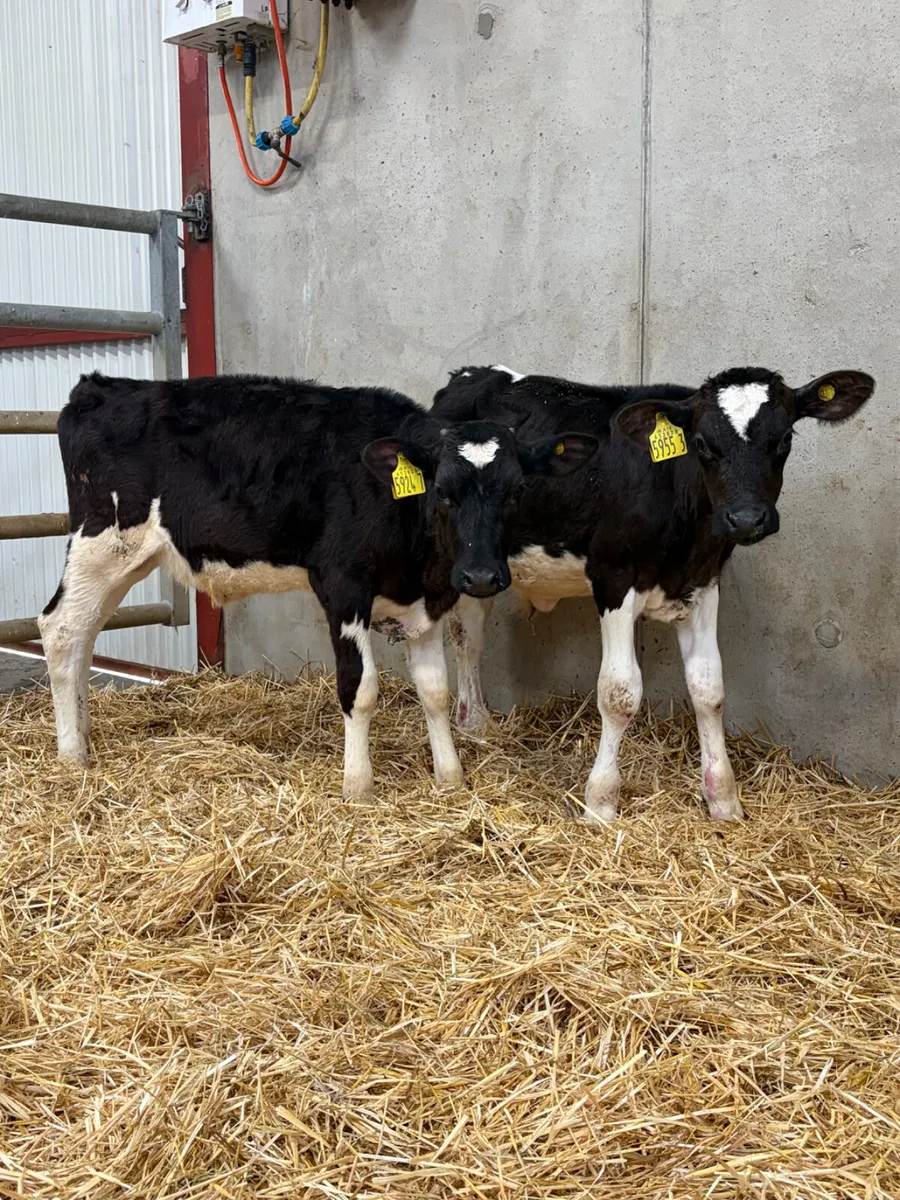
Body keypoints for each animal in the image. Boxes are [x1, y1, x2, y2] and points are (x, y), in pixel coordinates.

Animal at [38, 372, 597, 799]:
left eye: (517, 490)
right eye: (442, 489)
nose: (481, 576)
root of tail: (101, 387)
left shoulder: (428, 600)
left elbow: (436, 691)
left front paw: (450, 777)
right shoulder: (341, 586)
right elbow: (360, 688)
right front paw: (358, 787)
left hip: (125, 559)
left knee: (85, 634)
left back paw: (83, 733)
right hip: (103, 542)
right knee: (61, 628)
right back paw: (72, 755)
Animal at [432, 364, 875, 824]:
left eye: (785, 437)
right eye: (702, 443)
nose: (746, 518)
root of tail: (470, 374)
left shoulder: (704, 580)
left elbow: (709, 689)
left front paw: (723, 800)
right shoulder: (613, 577)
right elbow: (619, 692)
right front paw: (600, 802)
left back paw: (474, 722)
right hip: (467, 564)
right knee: (466, 637)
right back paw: (474, 723)